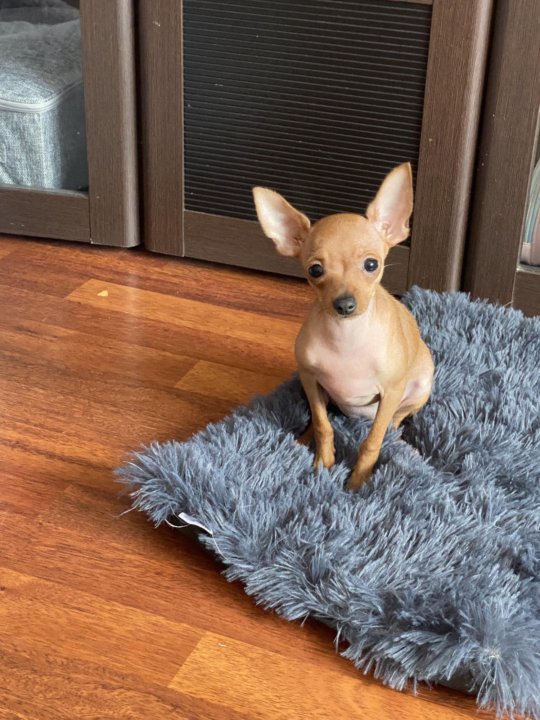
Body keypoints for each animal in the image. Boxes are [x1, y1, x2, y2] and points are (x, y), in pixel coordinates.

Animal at [253, 163, 434, 489]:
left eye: (372, 265)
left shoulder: (391, 391)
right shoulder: (310, 379)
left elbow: (372, 441)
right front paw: (323, 464)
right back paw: (301, 440)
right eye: (315, 270)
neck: (346, 337)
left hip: (421, 384)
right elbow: (323, 425)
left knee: (395, 420)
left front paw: (358, 482)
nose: (345, 304)